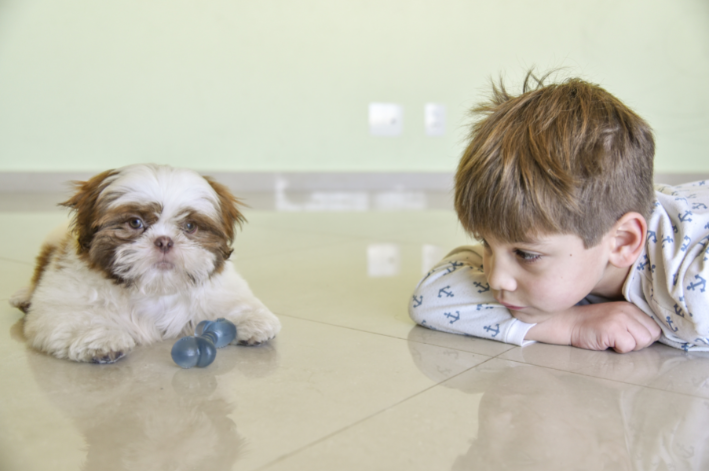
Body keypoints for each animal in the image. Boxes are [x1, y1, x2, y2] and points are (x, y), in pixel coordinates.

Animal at [8, 164, 280, 364]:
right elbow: (72, 316)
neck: (154, 288)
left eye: (190, 226)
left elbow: (233, 300)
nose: (164, 241)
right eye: (135, 222)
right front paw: (101, 339)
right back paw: (24, 296)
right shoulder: (64, 296)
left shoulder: (219, 286)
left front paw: (251, 320)